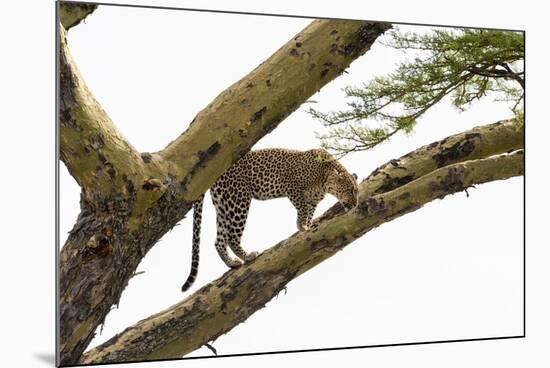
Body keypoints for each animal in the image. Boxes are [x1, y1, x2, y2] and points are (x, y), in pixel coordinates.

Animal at [183, 148, 360, 292]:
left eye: (356, 192)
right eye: (349, 190)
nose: (355, 204)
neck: (324, 178)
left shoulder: (312, 200)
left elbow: (309, 212)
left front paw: (308, 225)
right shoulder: (292, 186)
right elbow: (302, 208)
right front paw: (302, 226)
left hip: (223, 203)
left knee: (219, 240)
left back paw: (232, 262)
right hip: (238, 199)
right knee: (232, 236)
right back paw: (247, 257)